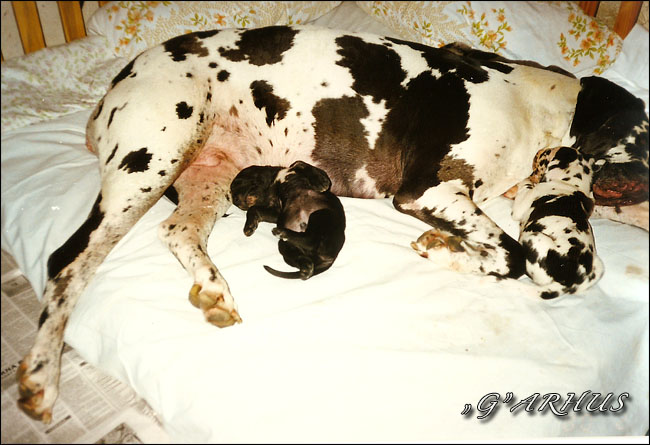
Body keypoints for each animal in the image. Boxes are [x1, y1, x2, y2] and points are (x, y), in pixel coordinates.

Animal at [511, 146, 604, 299]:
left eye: (547, 152)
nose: (540, 150)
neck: (570, 183)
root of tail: (568, 282)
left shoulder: (521, 206)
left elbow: (526, 186)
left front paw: (526, 181)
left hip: (532, 237)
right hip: (598, 266)